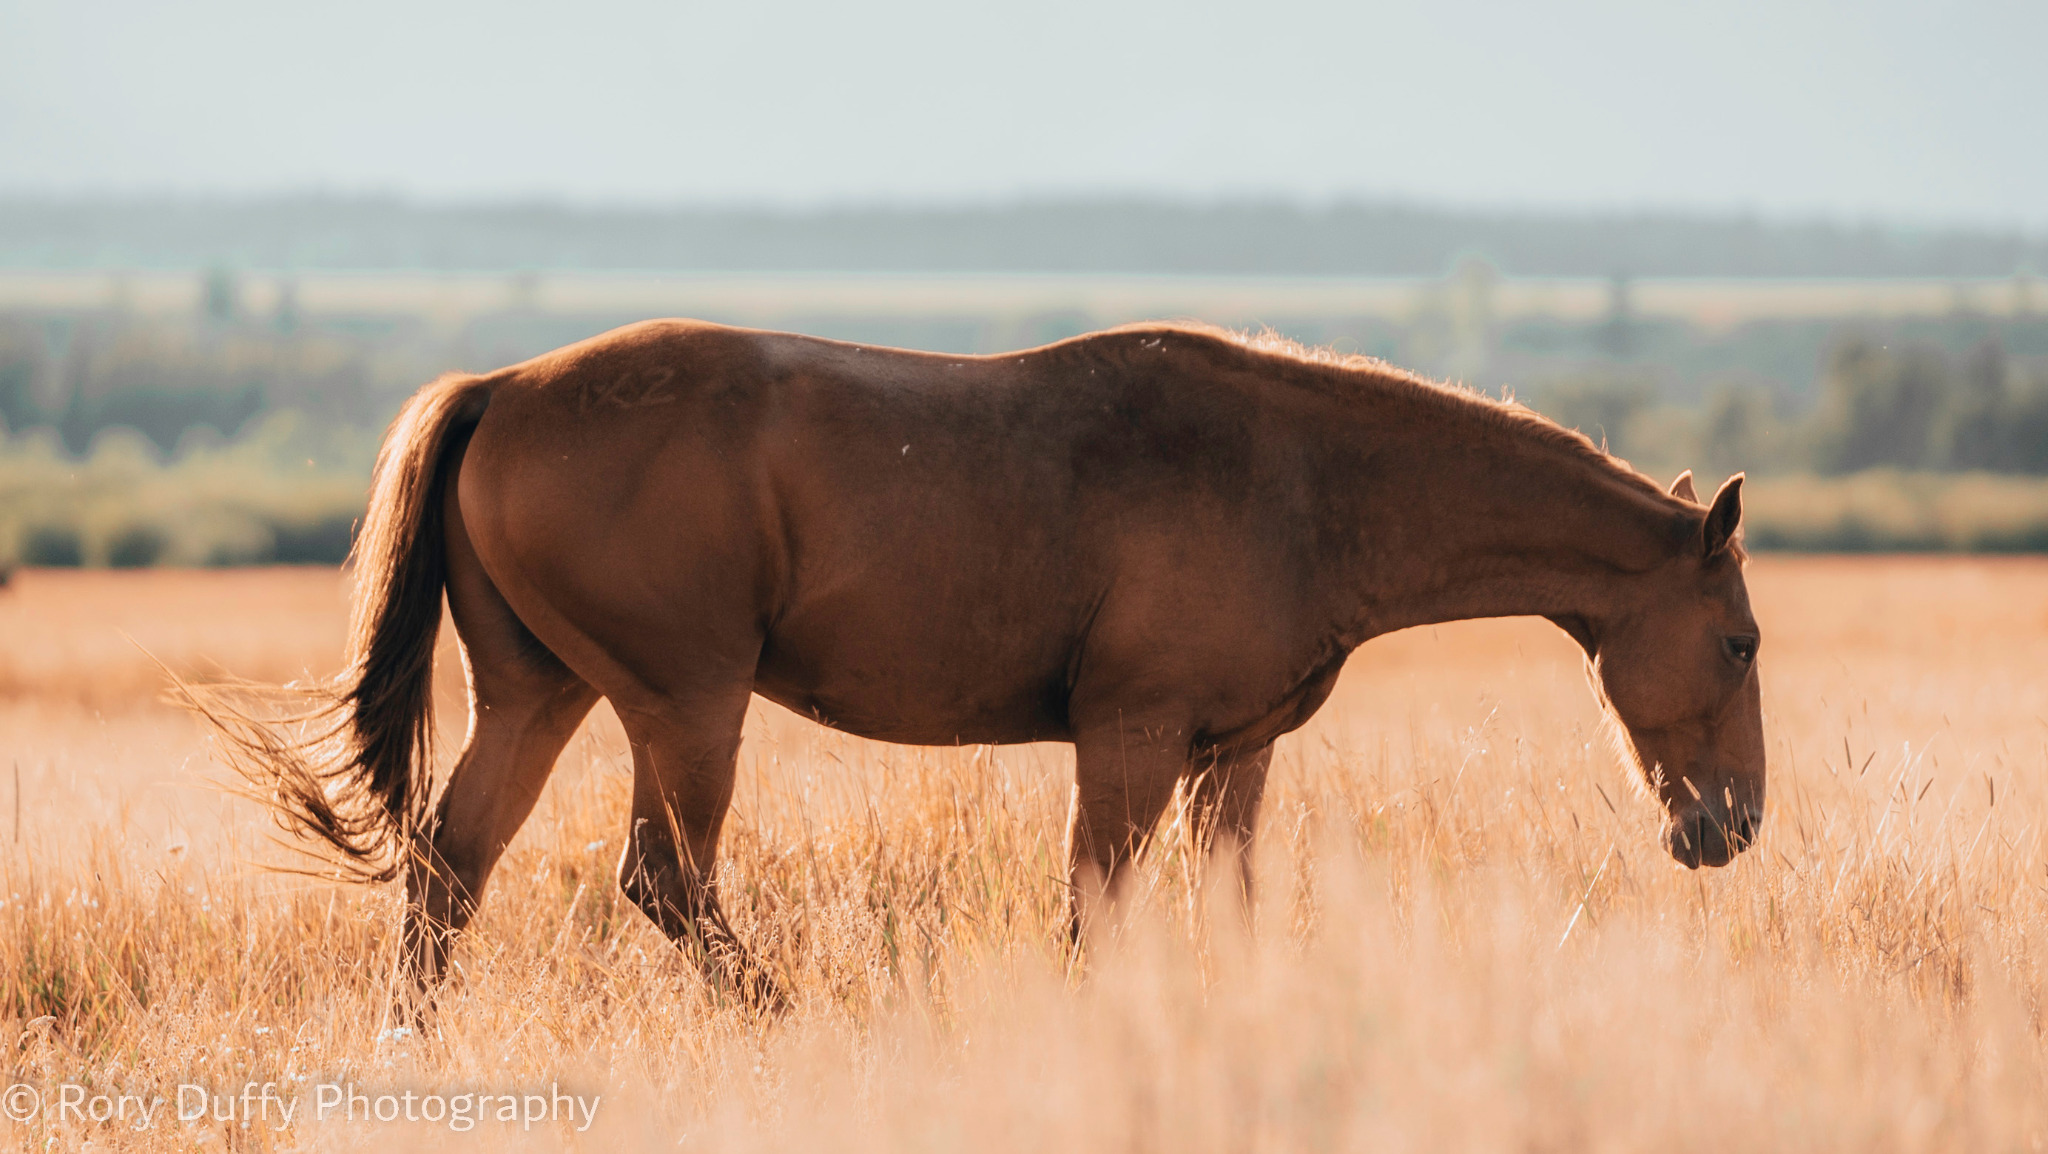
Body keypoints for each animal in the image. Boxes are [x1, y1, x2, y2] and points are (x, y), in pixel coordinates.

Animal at [189, 319, 1764, 1004]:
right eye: (1741, 638)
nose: (1731, 827)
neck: (1301, 480)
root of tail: (500, 387)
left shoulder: (1234, 751)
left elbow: (1224, 902)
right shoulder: (1128, 739)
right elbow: (1096, 907)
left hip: (542, 694)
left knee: (449, 865)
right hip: (684, 707)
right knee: (661, 878)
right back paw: (786, 1011)